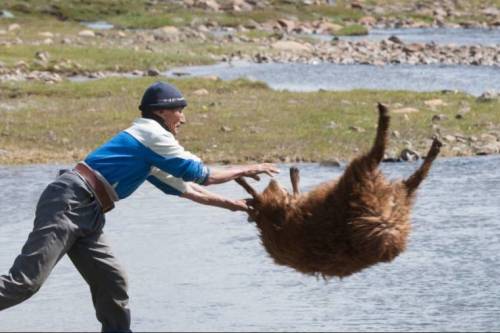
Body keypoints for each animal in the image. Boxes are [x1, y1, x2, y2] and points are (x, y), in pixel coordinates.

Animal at [236, 103, 444, 278]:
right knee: (383, 169)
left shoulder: (279, 217)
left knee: (379, 167)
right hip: (363, 201)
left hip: (360, 200)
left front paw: (250, 180)